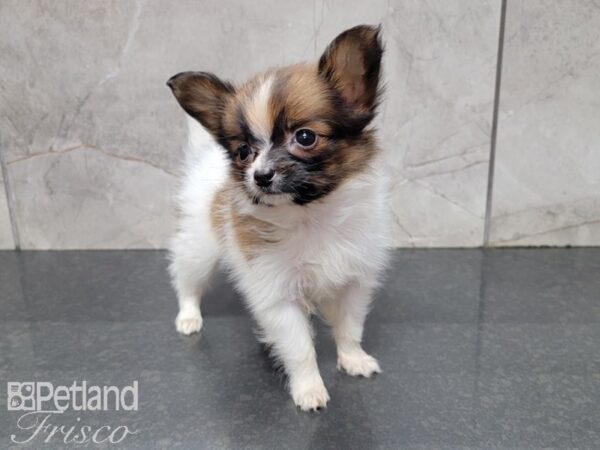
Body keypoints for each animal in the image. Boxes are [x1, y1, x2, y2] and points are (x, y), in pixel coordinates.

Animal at [166, 24, 390, 412]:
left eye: (305, 137)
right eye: (243, 152)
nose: (260, 176)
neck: (310, 215)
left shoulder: (353, 281)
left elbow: (349, 327)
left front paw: (353, 359)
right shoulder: (277, 292)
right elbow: (300, 348)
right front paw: (309, 389)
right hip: (199, 246)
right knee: (187, 281)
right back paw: (189, 316)